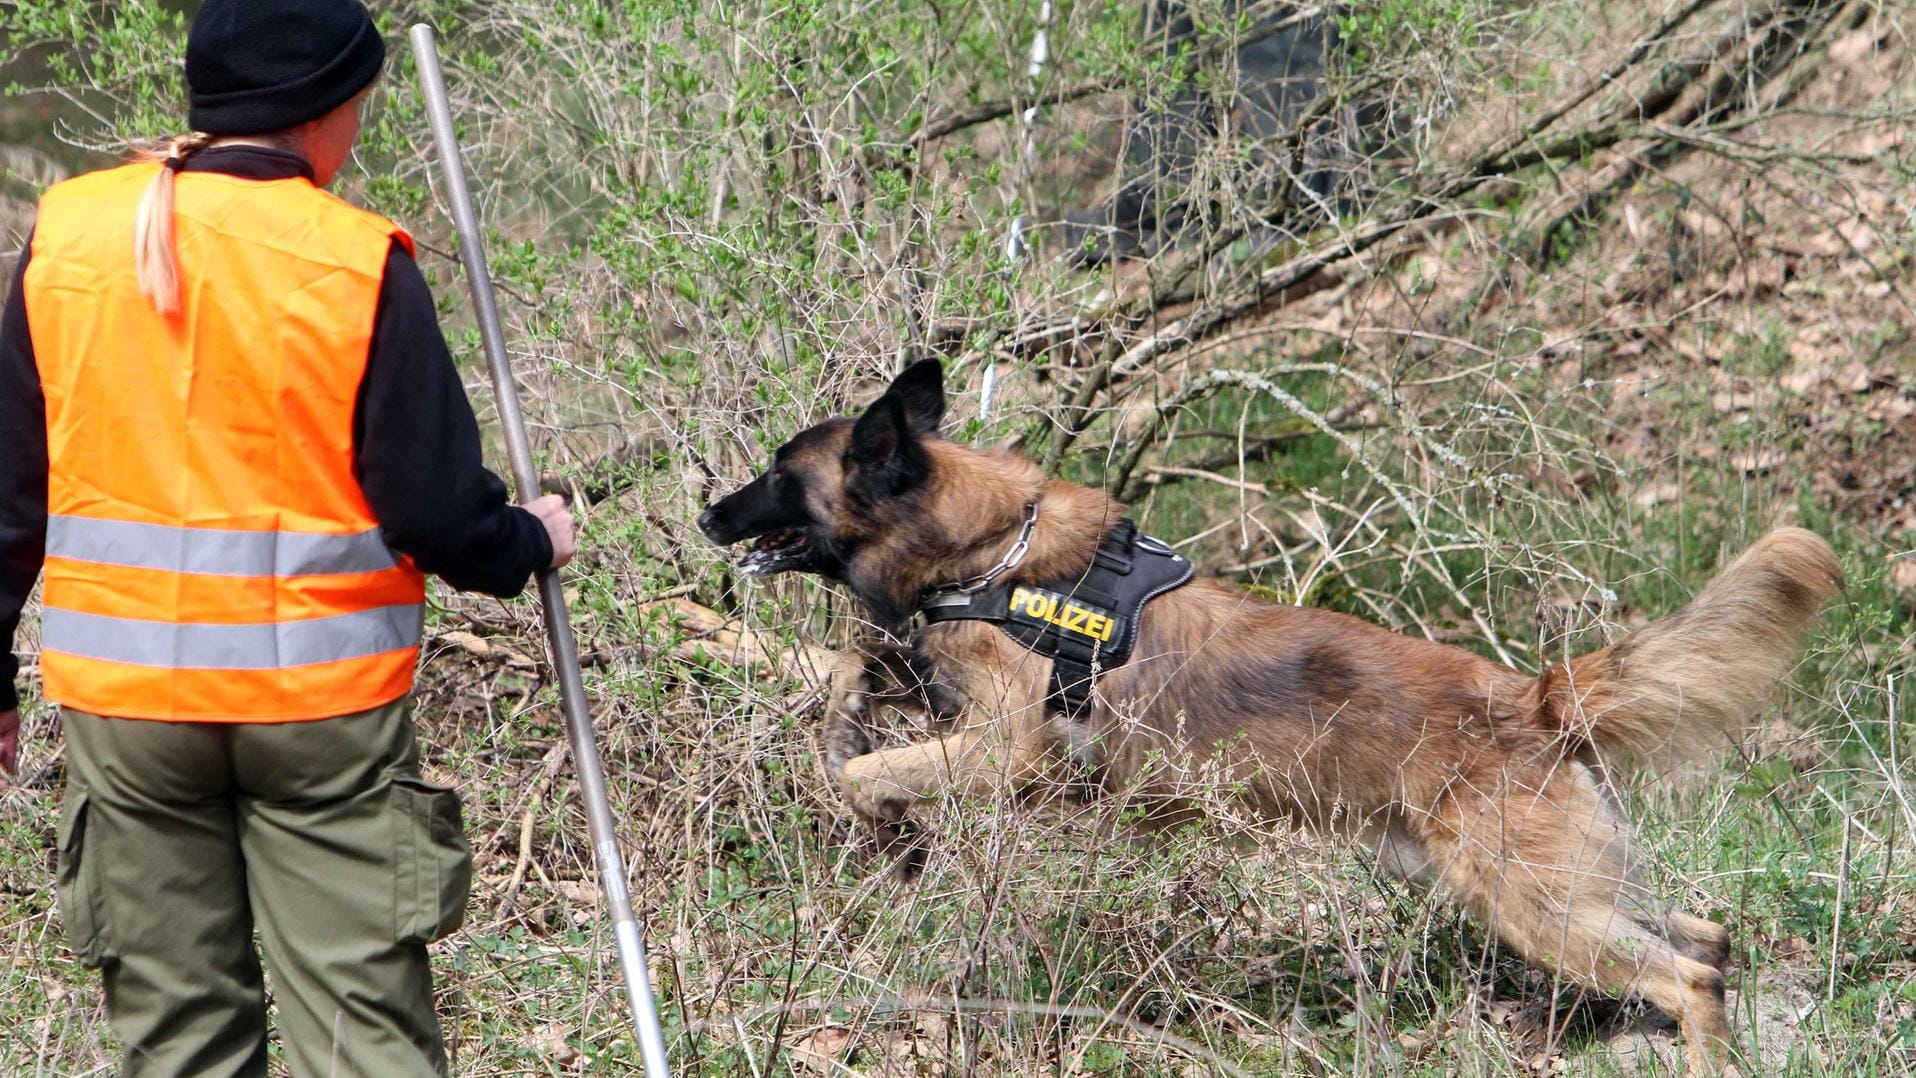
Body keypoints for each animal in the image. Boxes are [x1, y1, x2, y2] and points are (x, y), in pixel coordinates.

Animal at [701, 359, 1839, 1072]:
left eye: (778, 476)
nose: (707, 513)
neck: (992, 549)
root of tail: (1536, 696)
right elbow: (836, 661)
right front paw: (711, 638)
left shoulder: (1003, 752)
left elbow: (862, 771)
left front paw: (879, 825)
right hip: (1550, 892)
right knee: (1709, 939)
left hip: (1541, 910)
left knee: (1689, 977)